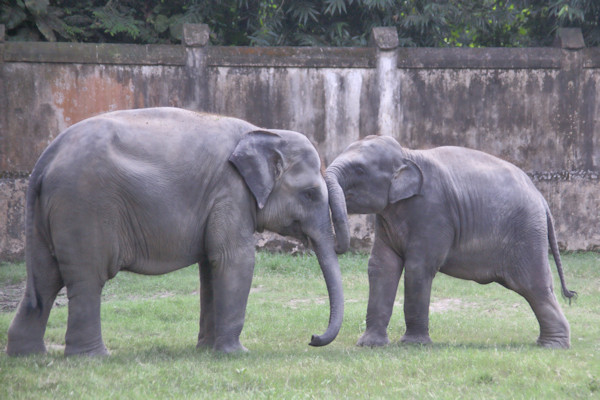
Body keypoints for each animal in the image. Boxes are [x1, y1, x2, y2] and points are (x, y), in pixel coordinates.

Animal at [8, 107, 346, 356]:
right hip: (82, 207)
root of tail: (45, 159)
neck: (264, 131)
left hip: (50, 214)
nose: (312, 337)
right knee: (87, 278)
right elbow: (234, 259)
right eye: (310, 194)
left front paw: (207, 350)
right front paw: (235, 354)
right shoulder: (230, 192)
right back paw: (92, 357)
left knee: (45, 279)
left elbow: (211, 266)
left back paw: (28, 356)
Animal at [328, 134, 576, 346]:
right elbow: (381, 266)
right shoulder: (387, 216)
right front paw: (369, 344)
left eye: (359, 170)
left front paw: (414, 344)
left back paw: (553, 345)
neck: (408, 153)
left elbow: (418, 268)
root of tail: (541, 197)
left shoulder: (433, 211)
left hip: (527, 233)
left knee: (533, 285)